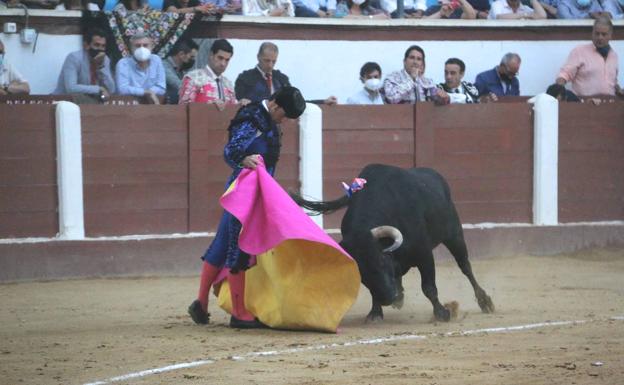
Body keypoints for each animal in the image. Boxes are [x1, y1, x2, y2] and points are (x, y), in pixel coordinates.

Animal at [294, 164, 498, 320]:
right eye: (361, 273)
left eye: (381, 260)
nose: (388, 298)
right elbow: (375, 289)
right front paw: (376, 313)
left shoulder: (424, 254)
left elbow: (428, 287)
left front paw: (442, 313)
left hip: (454, 235)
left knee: (465, 267)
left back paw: (485, 302)